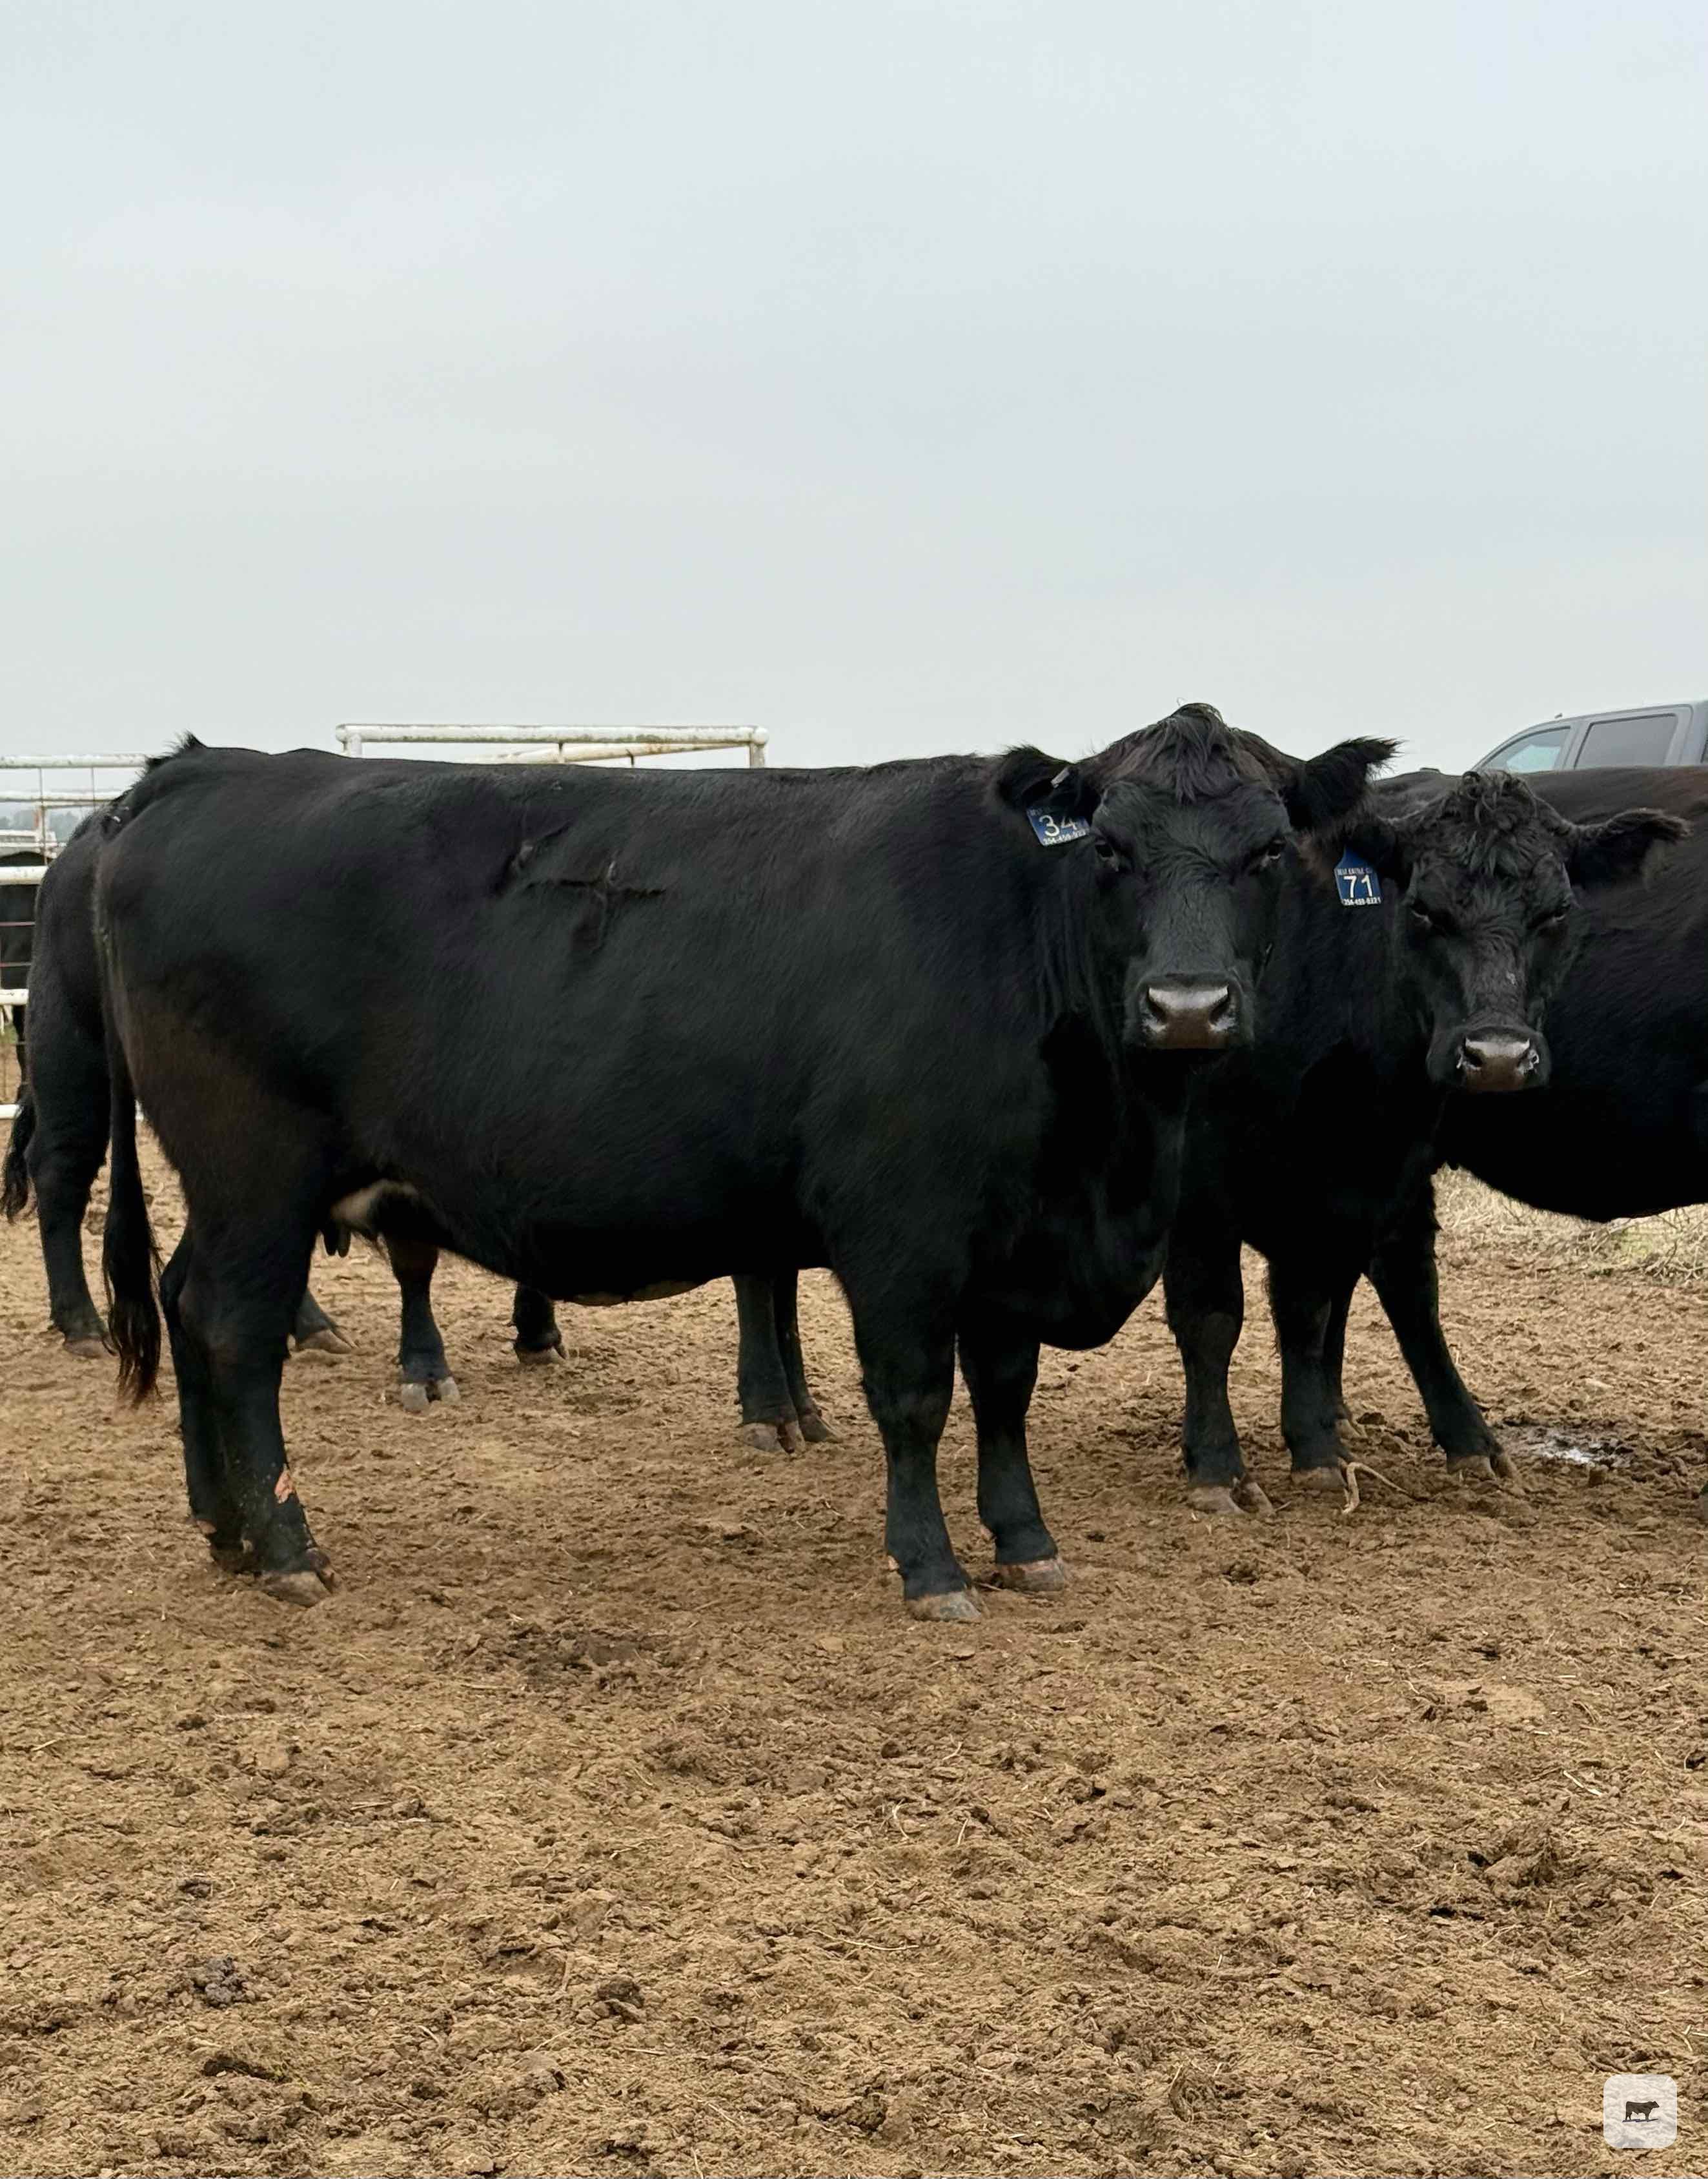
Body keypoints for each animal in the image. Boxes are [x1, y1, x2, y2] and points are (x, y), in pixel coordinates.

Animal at [2, 816, 830, 1443]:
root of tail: (97, 830)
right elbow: (760, 1278)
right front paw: (771, 1408)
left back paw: (310, 1325)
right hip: (75, 1055)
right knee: (63, 1173)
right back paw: (79, 1321)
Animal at [91, 708, 1390, 1617]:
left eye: (1268, 853)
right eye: (1111, 850)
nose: (1187, 1006)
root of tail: (203, 769)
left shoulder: (1008, 1240)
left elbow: (1004, 1392)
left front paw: (1026, 1543)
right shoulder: (901, 1229)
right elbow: (915, 1399)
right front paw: (930, 1567)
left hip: (225, 1187)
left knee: (185, 1303)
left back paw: (223, 1530)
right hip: (256, 1167)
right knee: (235, 1330)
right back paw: (288, 1548)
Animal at [1159, 769, 1685, 1509]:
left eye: (1555, 914)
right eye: (1424, 911)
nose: (1498, 1057)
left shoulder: (1355, 1177)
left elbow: (1309, 1309)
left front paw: (1317, 1450)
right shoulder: (1201, 1177)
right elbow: (1211, 1316)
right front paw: (1215, 1467)